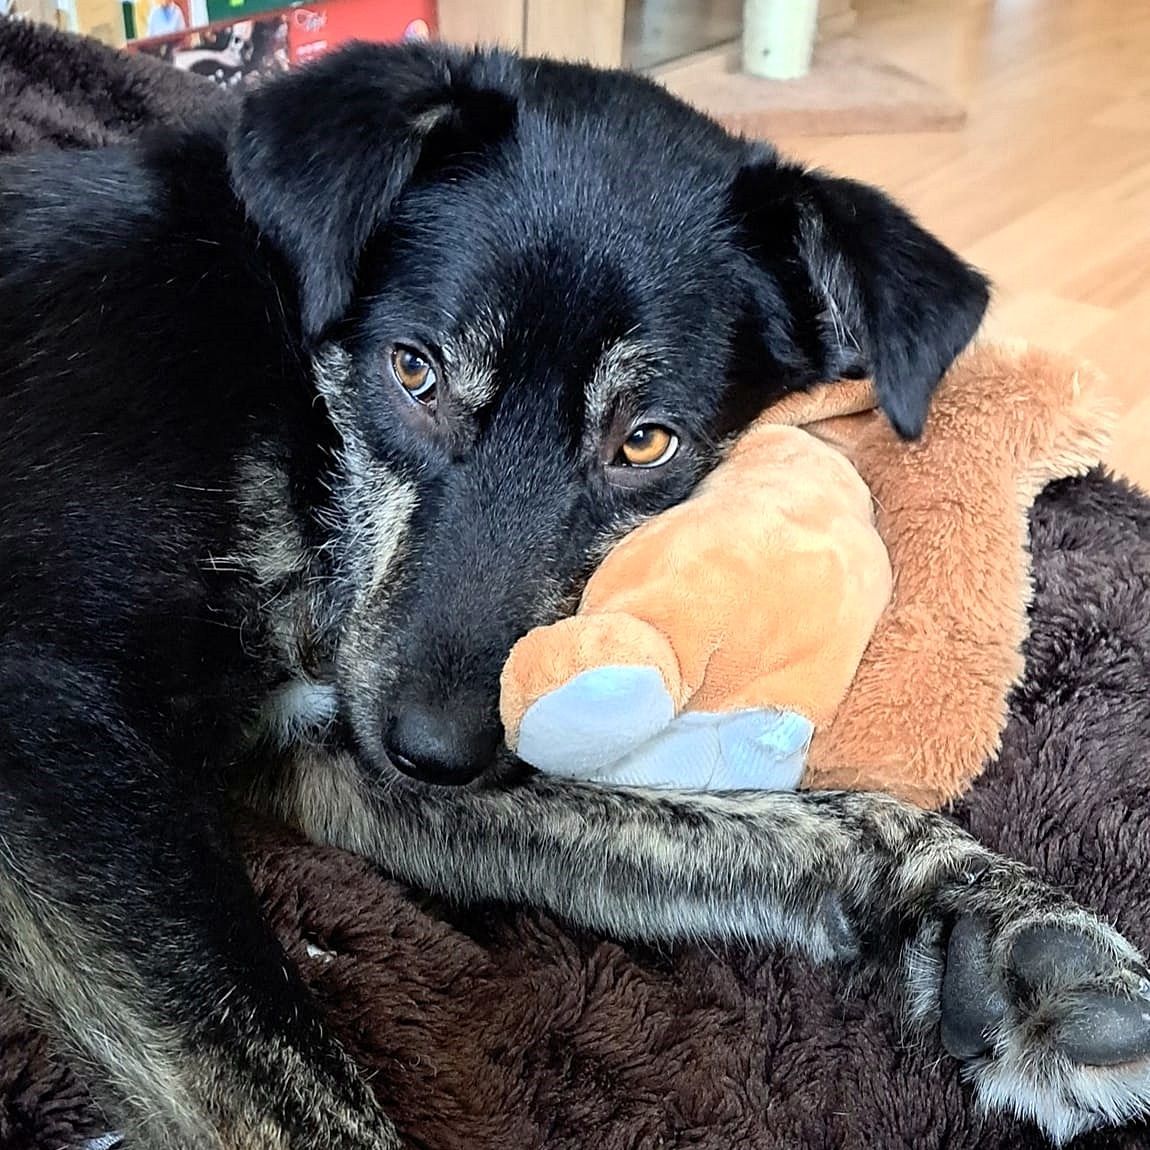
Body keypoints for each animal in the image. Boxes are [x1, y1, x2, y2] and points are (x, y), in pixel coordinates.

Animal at [1, 41, 1149, 1150]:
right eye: (412, 371)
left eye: (644, 442)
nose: (434, 752)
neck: (285, 404)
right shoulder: (57, 724)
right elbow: (296, 1094)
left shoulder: (321, 743)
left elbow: (721, 817)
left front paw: (990, 919)